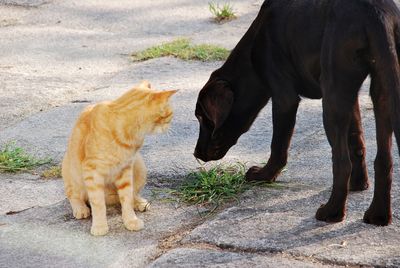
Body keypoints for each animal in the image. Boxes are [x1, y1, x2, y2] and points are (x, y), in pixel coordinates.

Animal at [62, 80, 177, 236]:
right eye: (170, 113)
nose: (171, 124)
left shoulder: (126, 169)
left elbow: (126, 198)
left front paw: (130, 220)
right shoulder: (92, 171)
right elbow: (97, 203)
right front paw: (100, 225)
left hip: (139, 166)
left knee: (130, 194)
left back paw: (138, 202)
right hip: (73, 174)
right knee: (73, 194)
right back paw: (80, 208)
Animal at [193, 0, 400, 226]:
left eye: (202, 117)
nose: (196, 153)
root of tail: (376, 14)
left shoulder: (284, 98)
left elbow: (278, 146)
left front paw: (265, 175)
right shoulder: (351, 97)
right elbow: (357, 142)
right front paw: (358, 184)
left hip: (332, 97)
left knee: (341, 162)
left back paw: (332, 212)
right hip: (381, 90)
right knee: (383, 159)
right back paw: (378, 214)